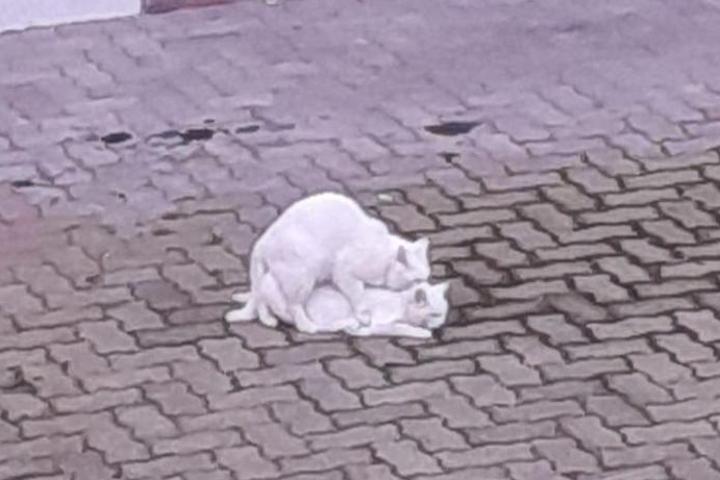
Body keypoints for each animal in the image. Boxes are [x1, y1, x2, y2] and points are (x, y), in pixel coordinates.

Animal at [225, 191, 431, 332]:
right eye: (417, 280)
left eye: (425, 278)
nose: (423, 288)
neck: (384, 256)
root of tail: (262, 242)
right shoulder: (344, 270)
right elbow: (357, 294)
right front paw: (362, 314)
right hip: (302, 276)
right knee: (293, 305)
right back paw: (308, 326)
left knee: (259, 295)